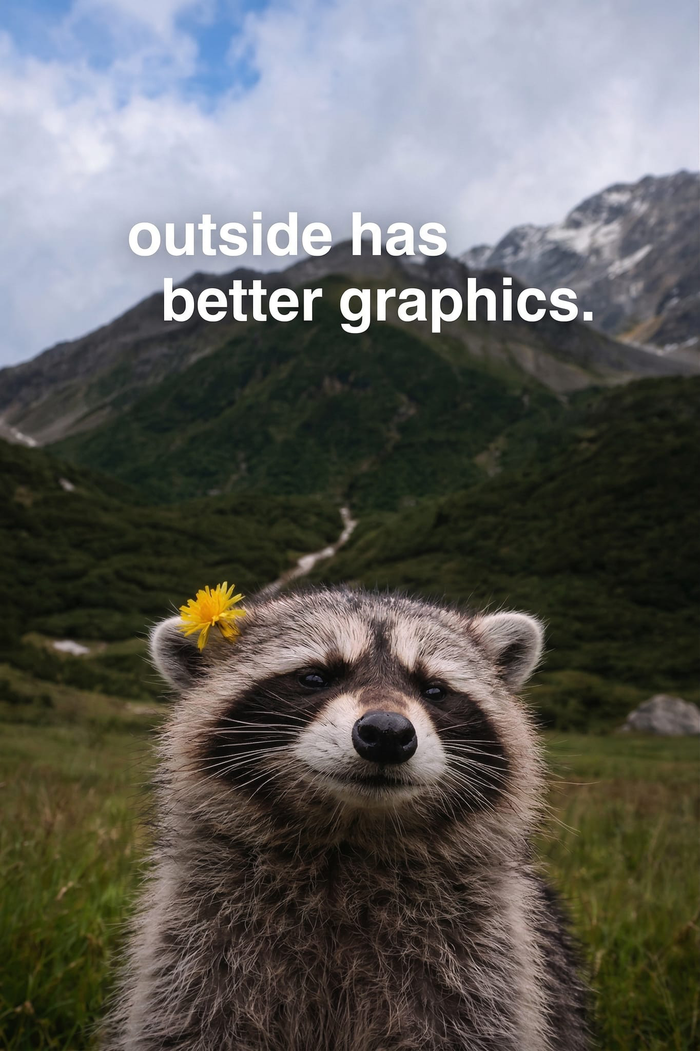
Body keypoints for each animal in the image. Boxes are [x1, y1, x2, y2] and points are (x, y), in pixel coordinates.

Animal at [103, 586, 590, 1051]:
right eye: (315, 677)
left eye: (434, 690)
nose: (388, 733)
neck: (351, 840)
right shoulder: (199, 948)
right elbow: (189, 1024)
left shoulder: (481, 963)